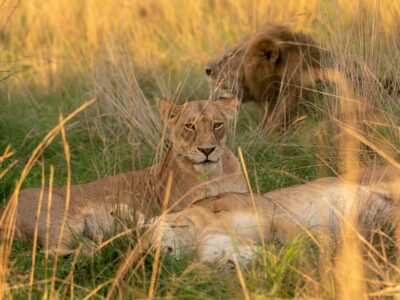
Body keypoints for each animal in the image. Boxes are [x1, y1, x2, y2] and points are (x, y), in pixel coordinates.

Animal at [7, 94, 247, 255]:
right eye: (190, 126)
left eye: (217, 125)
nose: (207, 150)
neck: (215, 175)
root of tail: (5, 207)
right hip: (63, 220)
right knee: (54, 253)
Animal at [148, 165, 400, 266]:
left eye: (145, 234)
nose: (150, 254)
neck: (197, 232)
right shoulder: (226, 248)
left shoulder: (273, 212)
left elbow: (307, 237)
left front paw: (331, 247)